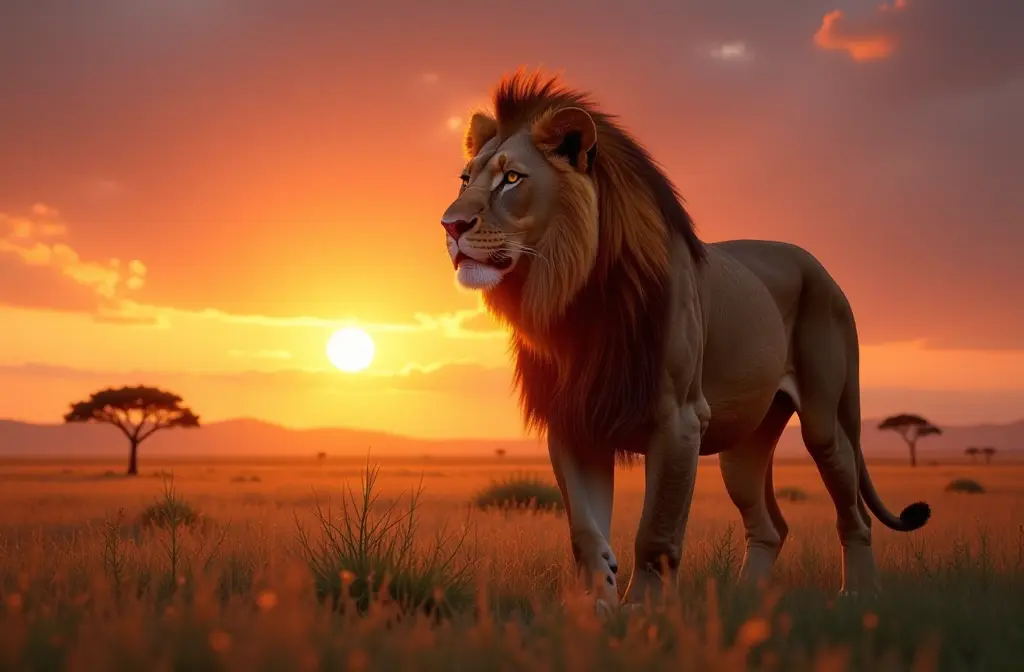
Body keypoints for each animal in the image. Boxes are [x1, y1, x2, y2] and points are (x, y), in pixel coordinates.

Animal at [439, 71, 930, 608]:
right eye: (465, 179)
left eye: (511, 179)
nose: (450, 225)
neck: (574, 299)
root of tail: (820, 266)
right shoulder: (575, 419)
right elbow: (585, 531)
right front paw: (596, 608)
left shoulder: (679, 418)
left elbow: (655, 530)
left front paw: (643, 611)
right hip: (744, 445)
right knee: (769, 526)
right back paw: (744, 602)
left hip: (826, 420)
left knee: (854, 514)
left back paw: (858, 595)